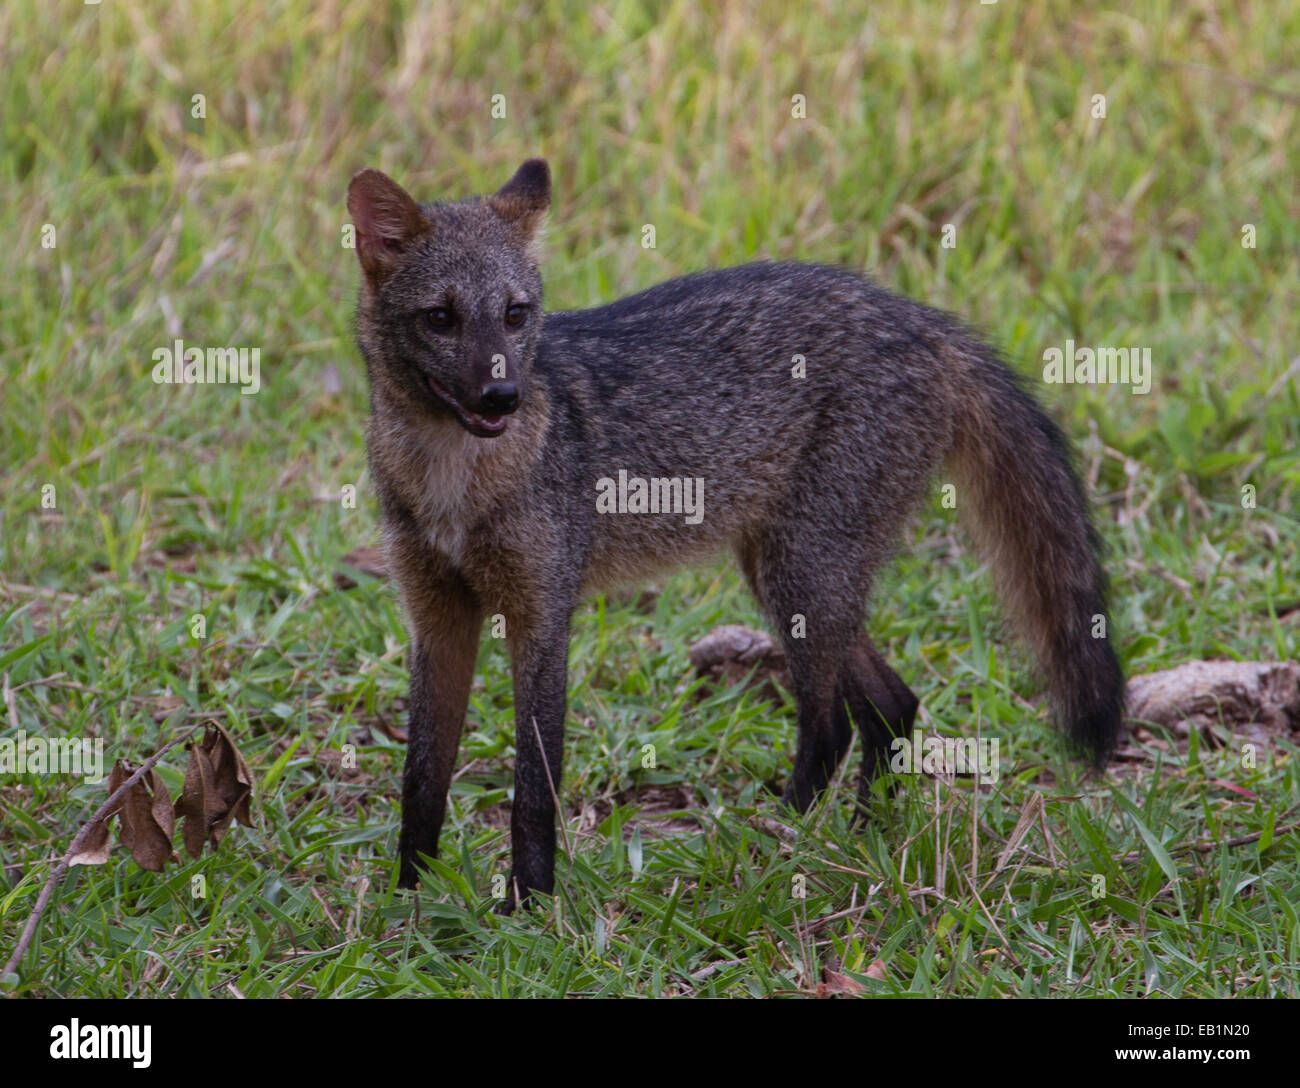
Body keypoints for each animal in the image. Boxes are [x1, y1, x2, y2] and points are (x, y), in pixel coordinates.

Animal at [346, 158, 1124, 910]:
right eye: (441, 318)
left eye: (515, 315)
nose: (502, 397)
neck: (452, 478)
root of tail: (921, 318)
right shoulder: (437, 619)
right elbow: (422, 781)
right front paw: (409, 900)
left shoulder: (541, 615)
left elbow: (534, 789)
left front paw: (529, 908)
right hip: (793, 575)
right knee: (893, 707)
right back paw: (866, 841)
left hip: (800, 576)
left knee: (833, 726)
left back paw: (784, 848)